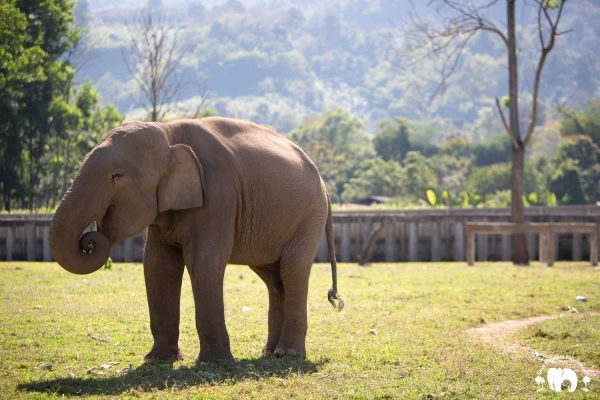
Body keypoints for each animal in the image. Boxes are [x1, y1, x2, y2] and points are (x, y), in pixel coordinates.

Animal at [48, 116, 342, 362]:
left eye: (117, 176)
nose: (89, 240)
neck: (169, 129)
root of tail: (324, 187)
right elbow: (158, 265)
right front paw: (157, 360)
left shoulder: (219, 194)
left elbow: (203, 262)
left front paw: (215, 362)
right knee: (274, 278)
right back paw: (269, 353)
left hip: (309, 217)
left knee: (293, 270)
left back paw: (287, 355)